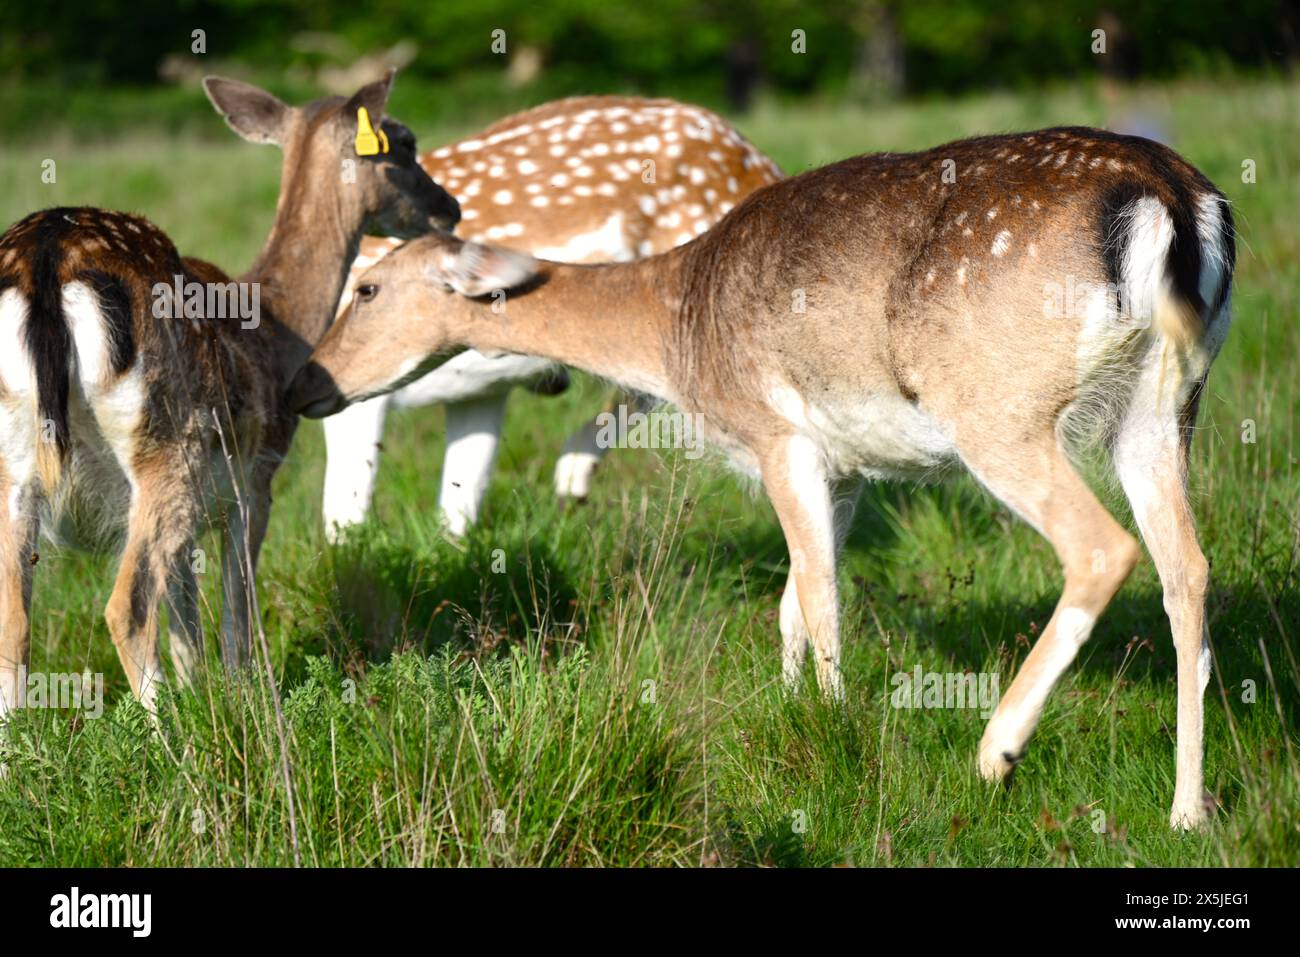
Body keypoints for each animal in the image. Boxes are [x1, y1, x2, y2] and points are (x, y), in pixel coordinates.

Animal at [0, 73, 458, 725]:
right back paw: (173, 744)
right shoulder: (257, 479)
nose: (451, 208)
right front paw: (247, 699)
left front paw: (204, 693)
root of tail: (48, 256)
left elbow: (187, 620)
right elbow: (236, 610)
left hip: (20, 463)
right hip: (169, 445)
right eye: (405, 142)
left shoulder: (199, 513)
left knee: (16, 621)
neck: (279, 331)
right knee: (124, 607)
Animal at [321, 96, 782, 539]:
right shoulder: (476, 391)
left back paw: (572, 477)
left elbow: (342, 522)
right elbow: (457, 511)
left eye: (367, 292)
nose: (554, 382)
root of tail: (761, 161)